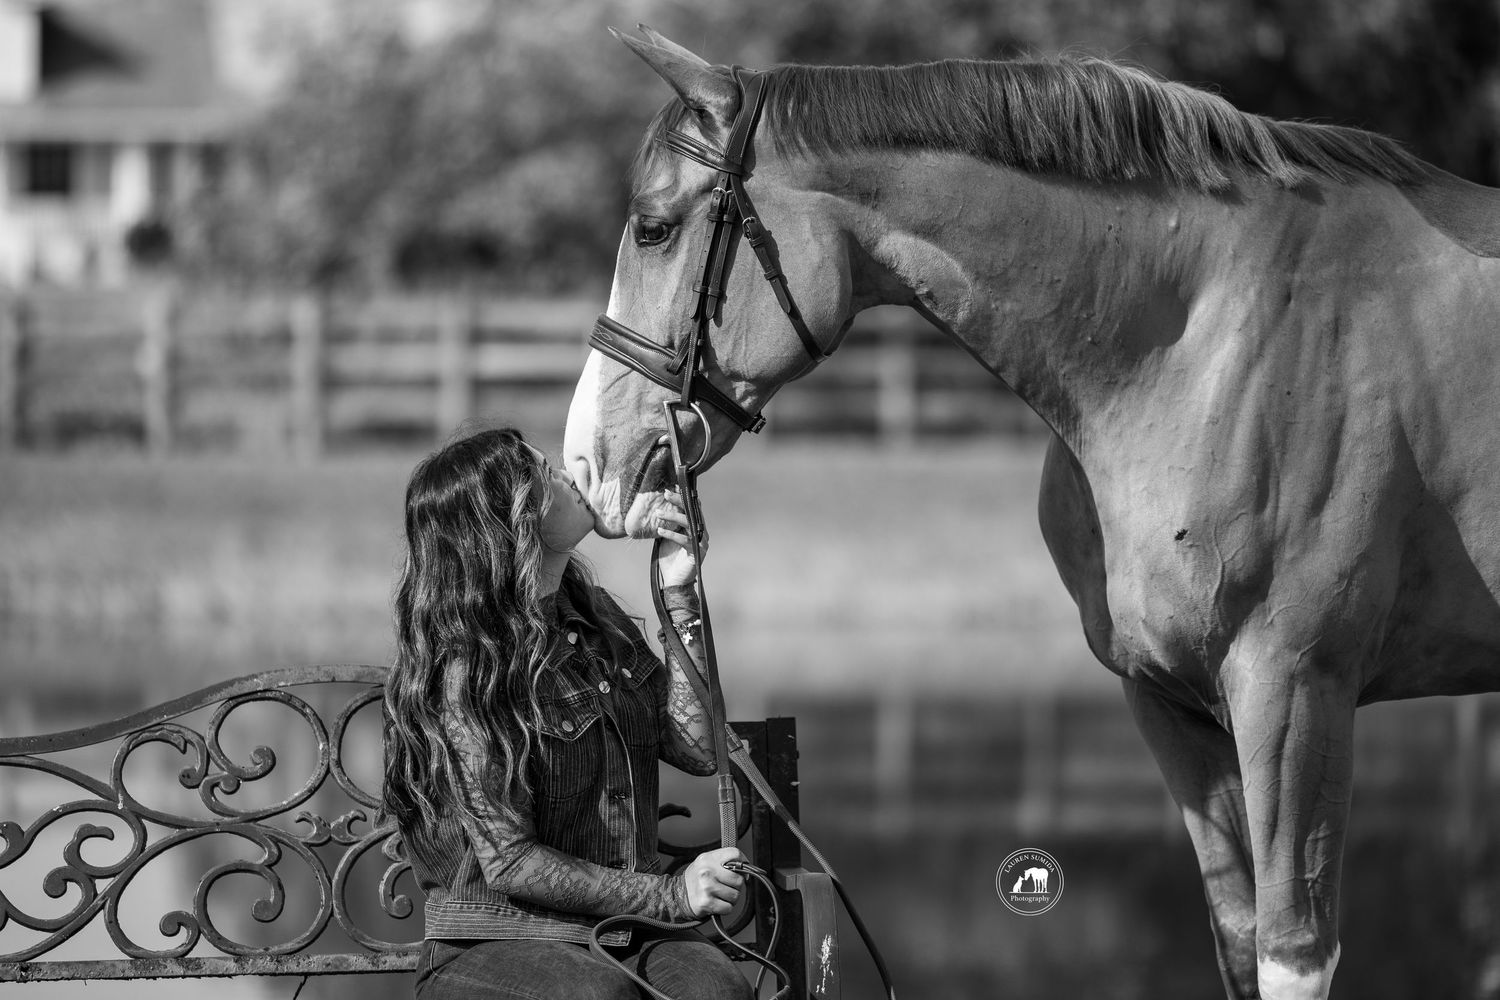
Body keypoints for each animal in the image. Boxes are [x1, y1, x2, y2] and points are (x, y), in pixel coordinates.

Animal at [562, 27, 1500, 1000]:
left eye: (654, 227)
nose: (587, 460)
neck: (1207, 345)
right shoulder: (1171, 706)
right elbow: (1239, 940)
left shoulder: (1296, 691)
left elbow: (1292, 952)